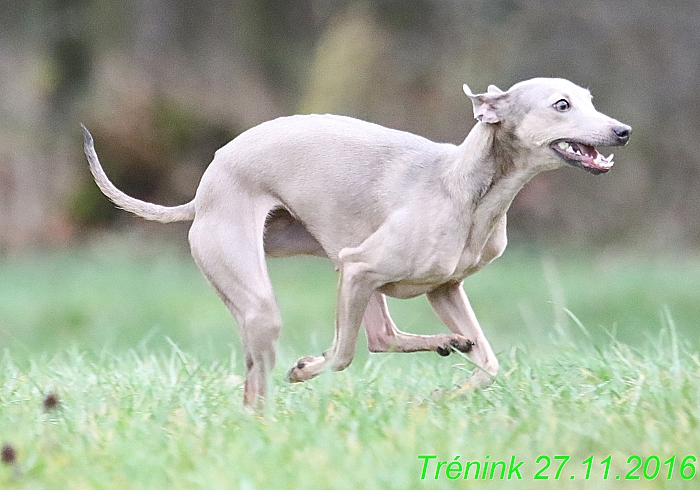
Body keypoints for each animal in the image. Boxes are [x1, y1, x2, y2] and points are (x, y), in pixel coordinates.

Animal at [83, 78, 636, 410]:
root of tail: (202, 191)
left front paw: (445, 394)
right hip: (275, 294)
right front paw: (306, 368)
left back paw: (447, 343)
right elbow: (341, 356)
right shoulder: (358, 267)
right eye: (561, 105)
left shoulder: (444, 287)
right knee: (269, 374)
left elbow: (490, 366)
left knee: (383, 335)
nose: (623, 130)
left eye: (589, 99)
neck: (468, 186)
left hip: (341, 267)